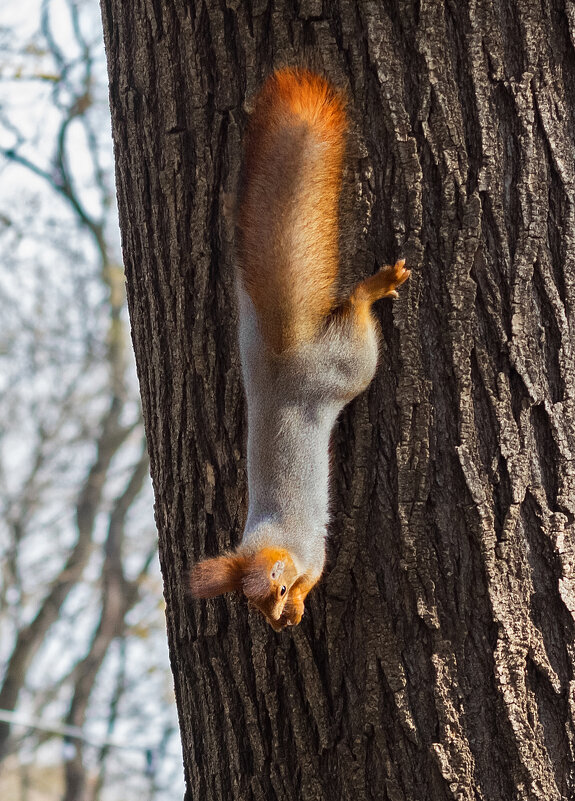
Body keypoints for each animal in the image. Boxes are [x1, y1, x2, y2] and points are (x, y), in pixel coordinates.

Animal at [189, 69, 410, 628]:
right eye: (249, 602)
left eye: (279, 585)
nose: (277, 622)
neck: (271, 538)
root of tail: (279, 358)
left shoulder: (310, 548)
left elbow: (317, 571)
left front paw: (302, 605)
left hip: (349, 364)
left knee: (356, 314)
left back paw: (373, 288)